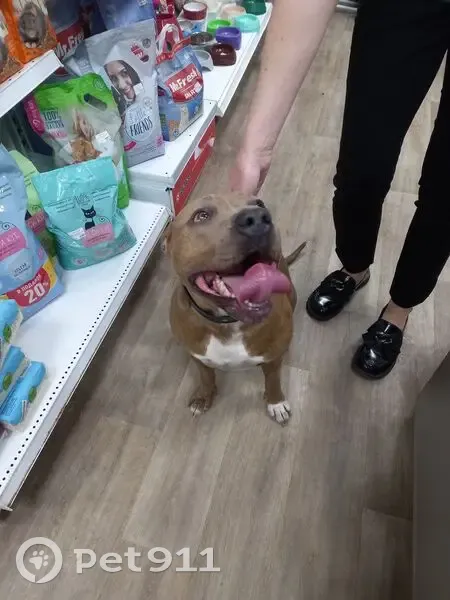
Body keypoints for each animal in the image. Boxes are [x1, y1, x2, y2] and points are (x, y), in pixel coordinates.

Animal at [166, 193, 306, 425]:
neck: (227, 323)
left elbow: (273, 380)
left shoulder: (273, 359)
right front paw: (203, 397)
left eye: (259, 203)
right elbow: (206, 377)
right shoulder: (197, 356)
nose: (257, 218)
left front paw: (276, 402)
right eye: (201, 215)